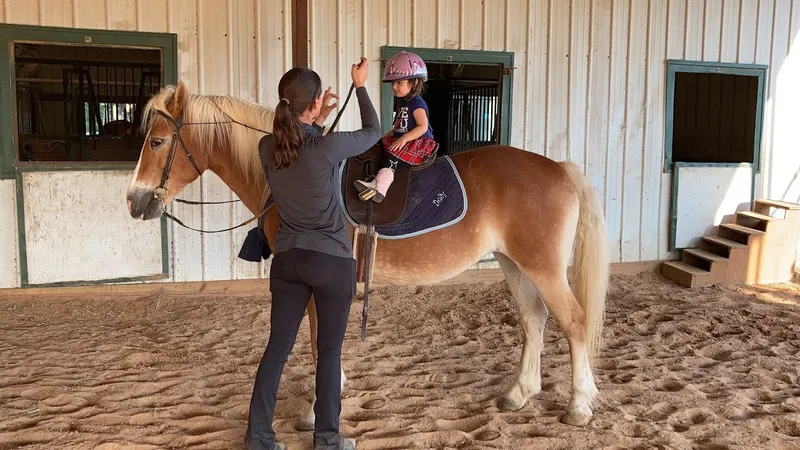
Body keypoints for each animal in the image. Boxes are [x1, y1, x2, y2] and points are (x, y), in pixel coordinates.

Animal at [126, 81, 612, 428]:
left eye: (157, 142)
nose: (134, 201)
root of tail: (558, 168)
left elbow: (319, 339)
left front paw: (316, 409)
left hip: (543, 267)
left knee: (574, 322)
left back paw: (579, 406)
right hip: (515, 264)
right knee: (534, 320)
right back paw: (519, 393)